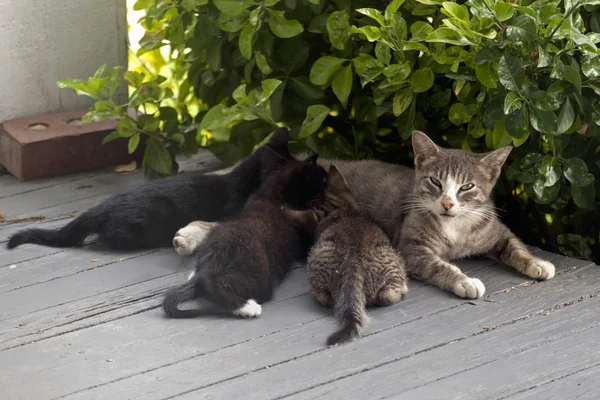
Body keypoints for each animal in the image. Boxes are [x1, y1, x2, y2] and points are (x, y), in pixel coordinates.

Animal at [162, 154, 326, 318]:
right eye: (322, 177)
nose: (327, 180)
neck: (271, 193)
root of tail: (219, 250)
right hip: (259, 277)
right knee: (209, 283)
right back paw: (247, 307)